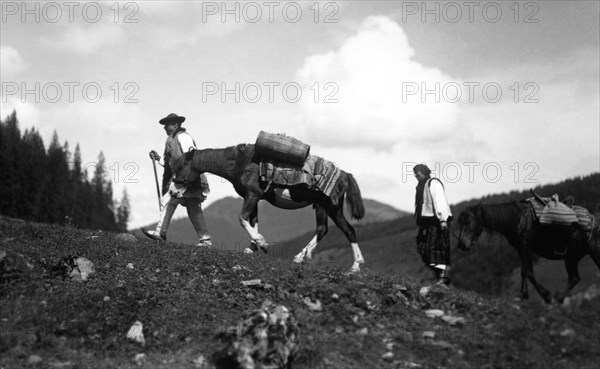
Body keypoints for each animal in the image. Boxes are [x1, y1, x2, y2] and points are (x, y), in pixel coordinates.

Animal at [173, 144, 366, 274]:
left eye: (181, 166)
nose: (173, 191)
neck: (241, 162)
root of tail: (345, 174)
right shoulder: (253, 197)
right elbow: (252, 220)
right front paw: (253, 246)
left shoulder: (253, 194)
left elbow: (242, 218)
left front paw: (262, 242)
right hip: (329, 207)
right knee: (339, 230)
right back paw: (351, 265)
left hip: (327, 206)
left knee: (331, 229)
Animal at [460, 201, 600, 302]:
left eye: (468, 221)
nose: (462, 244)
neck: (515, 218)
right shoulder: (521, 249)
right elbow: (530, 272)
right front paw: (545, 295)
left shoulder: (525, 246)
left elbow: (524, 271)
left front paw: (522, 294)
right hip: (571, 258)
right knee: (574, 278)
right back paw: (559, 297)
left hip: (591, 254)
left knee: (575, 278)